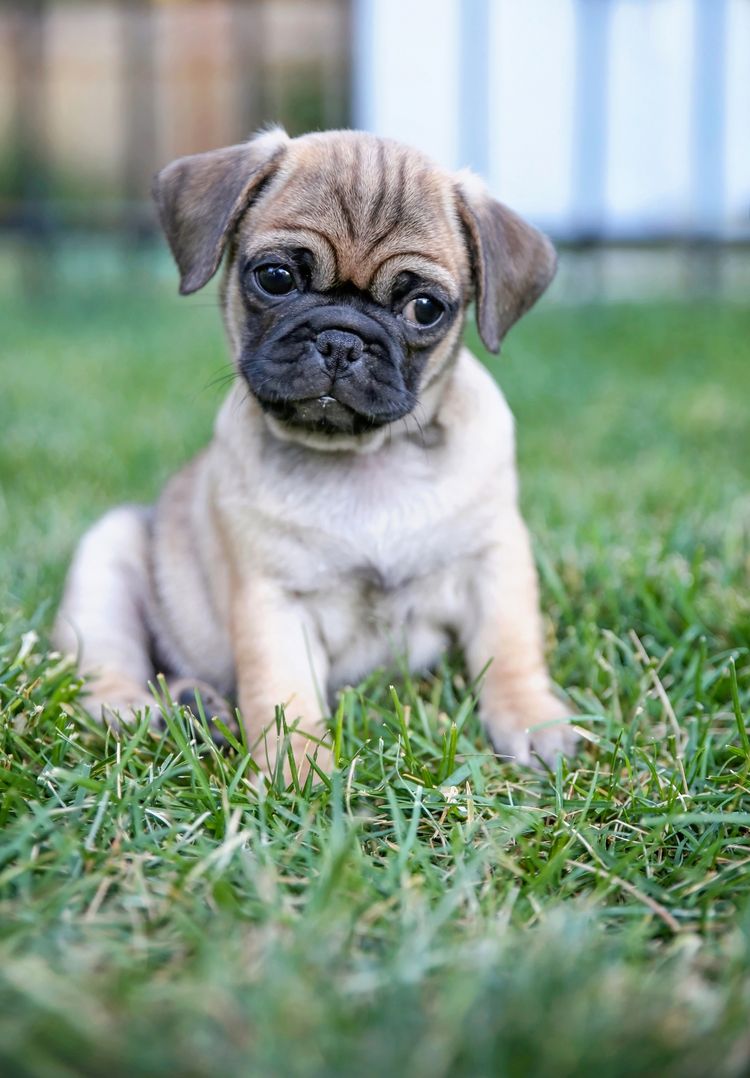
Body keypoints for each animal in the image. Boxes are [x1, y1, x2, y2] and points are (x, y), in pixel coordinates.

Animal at [55, 126, 577, 776]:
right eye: (275, 278)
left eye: (425, 309)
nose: (341, 340)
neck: (365, 458)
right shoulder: (273, 601)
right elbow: (284, 697)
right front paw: (298, 772)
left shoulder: (495, 562)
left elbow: (510, 648)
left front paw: (533, 719)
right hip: (106, 555)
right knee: (108, 667)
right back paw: (148, 710)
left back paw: (197, 707)